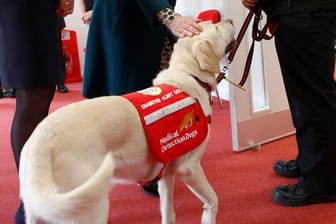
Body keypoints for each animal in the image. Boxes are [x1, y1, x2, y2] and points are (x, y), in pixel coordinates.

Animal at [18, 19, 234, 224]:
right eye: (215, 28)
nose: (231, 21)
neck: (189, 76)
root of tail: (41, 141)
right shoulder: (189, 168)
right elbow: (213, 200)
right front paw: (208, 217)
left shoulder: (166, 175)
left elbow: (168, 214)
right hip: (90, 205)